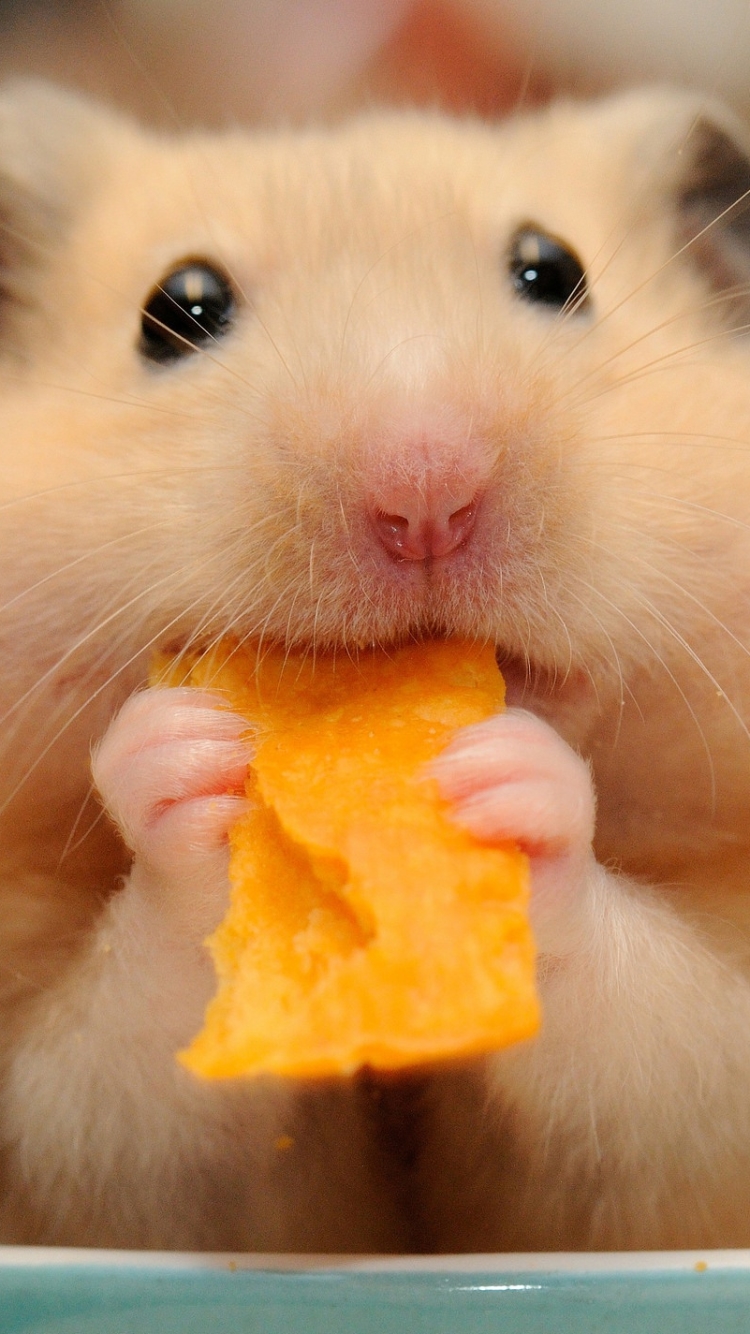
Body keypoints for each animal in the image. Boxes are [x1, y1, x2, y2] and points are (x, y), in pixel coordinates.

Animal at [2, 78, 750, 1252]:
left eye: (555, 271)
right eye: (178, 309)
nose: (425, 488)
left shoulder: (677, 1129)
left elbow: (661, 1040)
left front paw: (507, 782)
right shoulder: (77, 1148)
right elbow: (127, 1076)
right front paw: (187, 750)